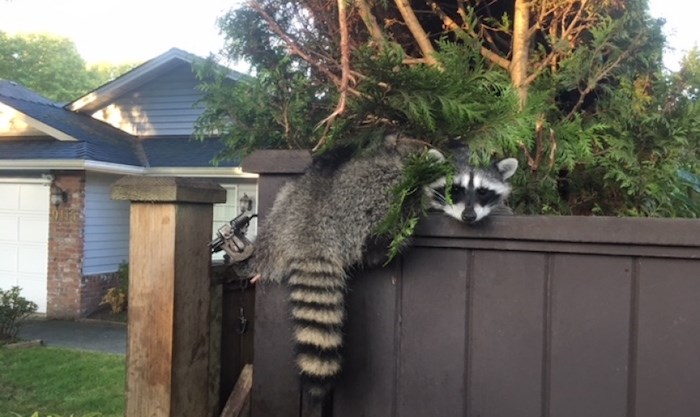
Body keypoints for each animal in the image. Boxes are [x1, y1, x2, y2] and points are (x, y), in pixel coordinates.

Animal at [249, 135, 516, 398]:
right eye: (455, 189)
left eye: (483, 192)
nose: (469, 216)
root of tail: (312, 225)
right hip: (370, 193)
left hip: (282, 211)